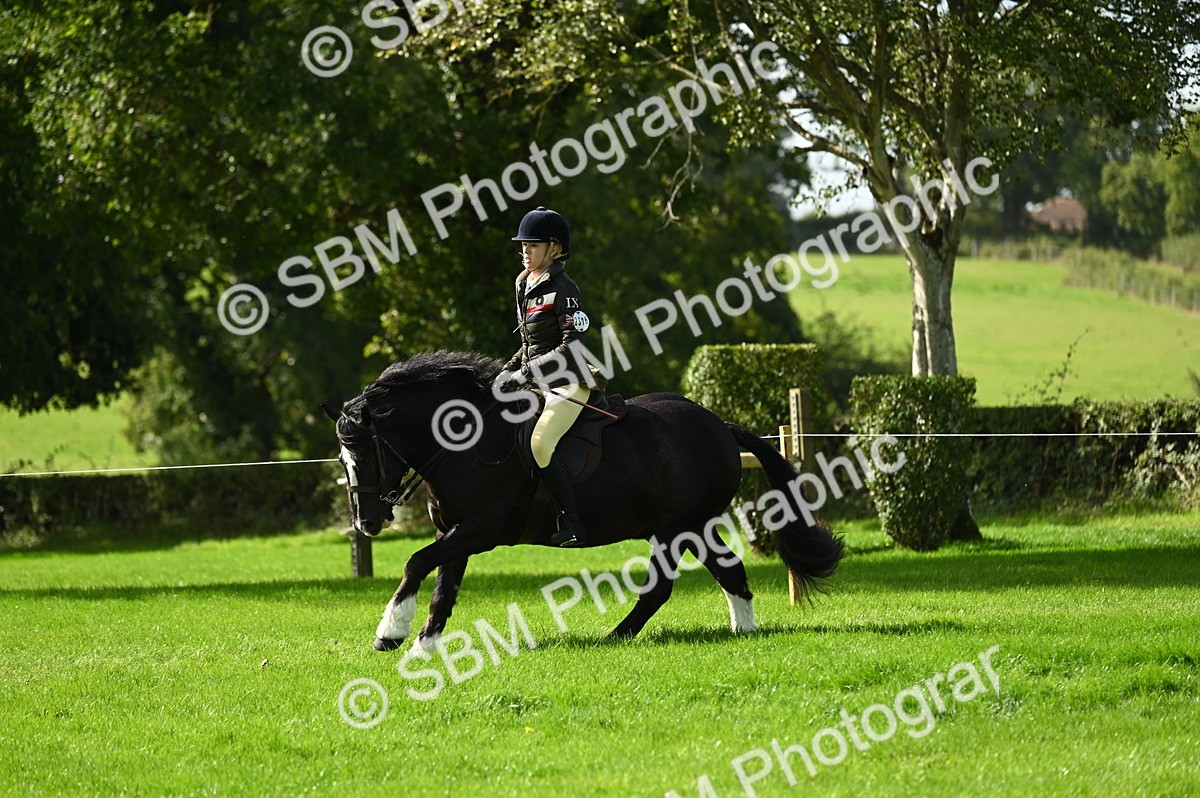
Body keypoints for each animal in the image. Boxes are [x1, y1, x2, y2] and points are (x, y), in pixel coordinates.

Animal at [323, 350, 844, 651]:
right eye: (344, 458)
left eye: (365, 454)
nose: (367, 523)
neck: (465, 440)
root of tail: (719, 425)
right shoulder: (453, 531)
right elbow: (442, 591)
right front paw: (422, 646)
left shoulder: (479, 532)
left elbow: (415, 563)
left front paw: (389, 633)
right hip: (680, 527)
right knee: (720, 571)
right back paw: (733, 631)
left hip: (681, 526)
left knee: (673, 583)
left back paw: (620, 637)